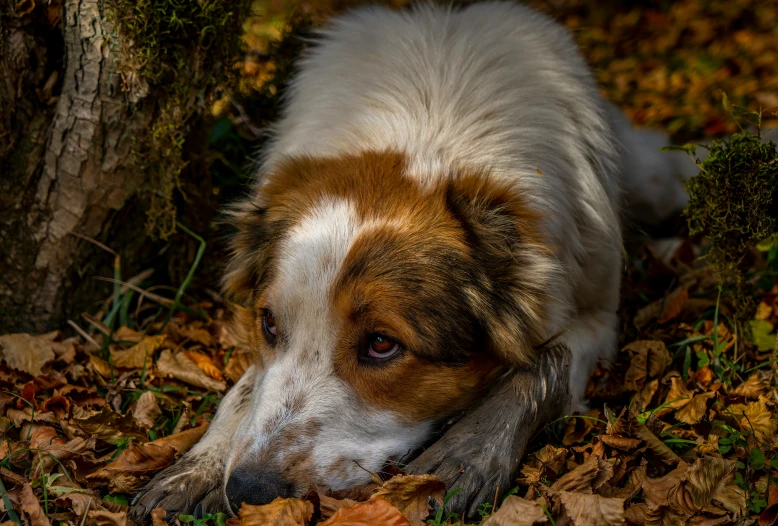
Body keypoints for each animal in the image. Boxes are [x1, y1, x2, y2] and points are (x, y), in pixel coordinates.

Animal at [129, 0, 692, 520]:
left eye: (382, 345)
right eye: (267, 324)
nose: (250, 489)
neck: (425, 143)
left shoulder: (599, 316)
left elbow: (542, 364)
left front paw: (468, 453)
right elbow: (248, 386)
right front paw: (200, 464)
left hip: (646, 181)